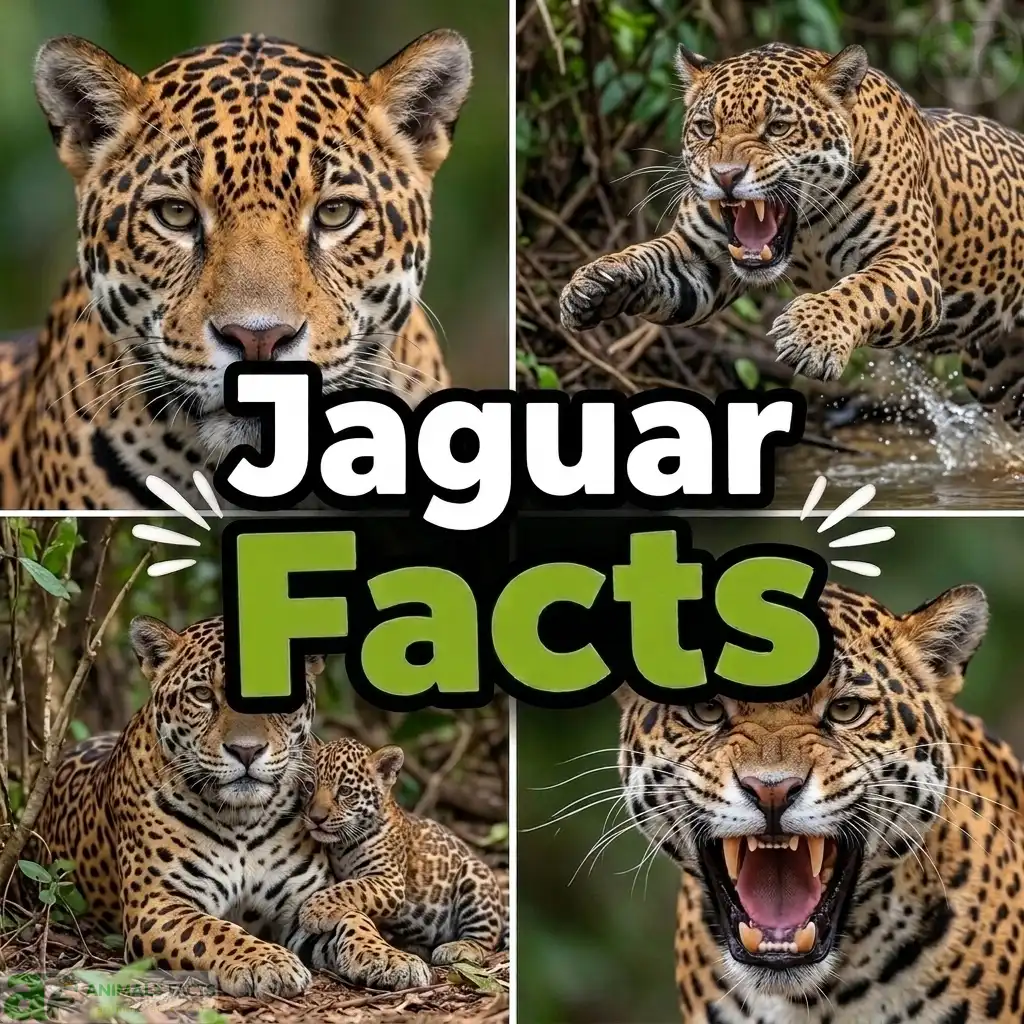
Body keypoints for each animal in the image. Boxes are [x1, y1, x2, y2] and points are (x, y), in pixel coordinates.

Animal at [33, 615, 434, 995]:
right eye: (201, 694)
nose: (246, 750)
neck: (242, 819)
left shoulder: (302, 901)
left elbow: (353, 918)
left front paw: (390, 956)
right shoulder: (157, 905)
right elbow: (213, 931)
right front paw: (267, 962)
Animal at [298, 737, 507, 970]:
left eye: (345, 791)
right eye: (309, 786)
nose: (316, 818)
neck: (340, 846)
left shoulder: (390, 880)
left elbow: (352, 886)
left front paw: (315, 909)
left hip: (475, 876)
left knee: (485, 942)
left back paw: (457, 948)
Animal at [560, 42, 1024, 430]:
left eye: (778, 127)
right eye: (706, 128)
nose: (725, 176)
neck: (807, 231)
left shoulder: (910, 264)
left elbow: (862, 290)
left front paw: (810, 334)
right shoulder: (699, 258)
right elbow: (648, 257)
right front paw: (593, 283)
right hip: (998, 376)